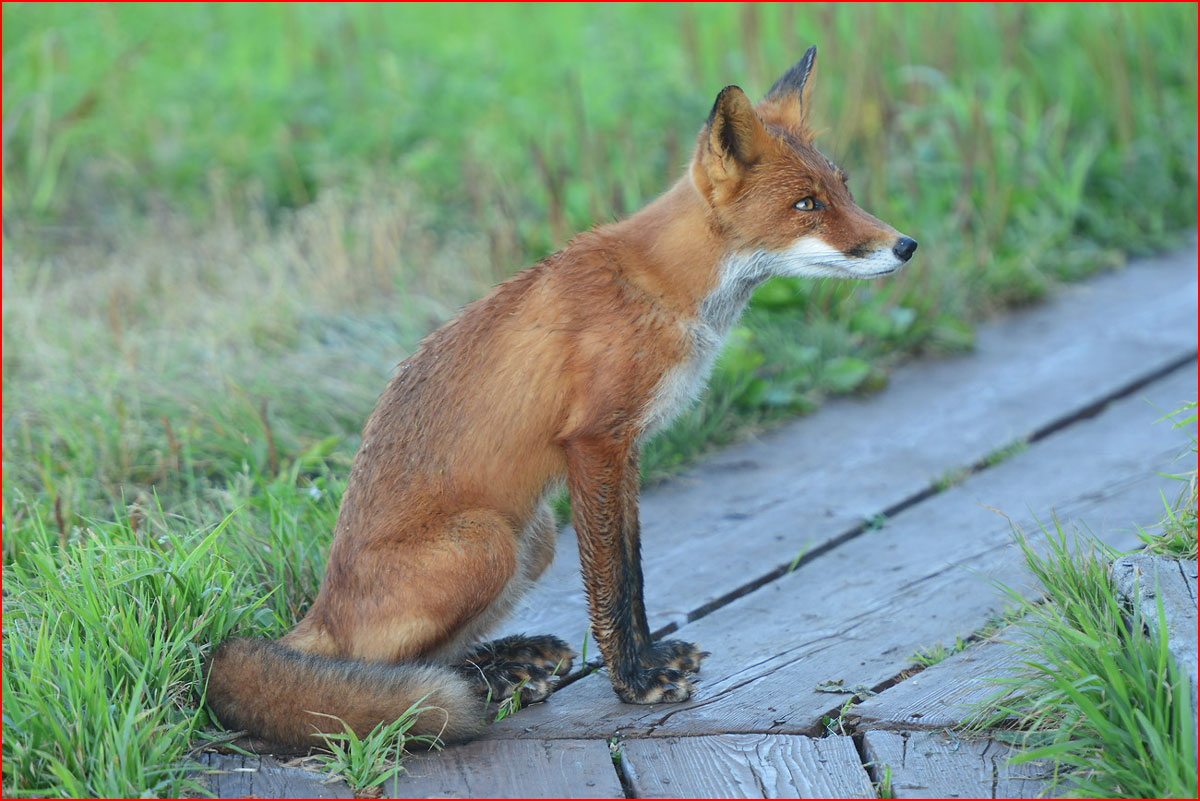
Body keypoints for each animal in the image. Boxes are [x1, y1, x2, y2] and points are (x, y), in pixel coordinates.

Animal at [206, 48, 916, 753]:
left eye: (845, 189)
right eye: (807, 204)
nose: (906, 245)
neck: (660, 289)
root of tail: (321, 609)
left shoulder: (628, 450)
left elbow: (633, 574)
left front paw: (647, 660)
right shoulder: (593, 442)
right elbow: (610, 584)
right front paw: (635, 682)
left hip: (536, 537)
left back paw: (511, 659)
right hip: (487, 542)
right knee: (387, 672)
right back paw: (490, 682)